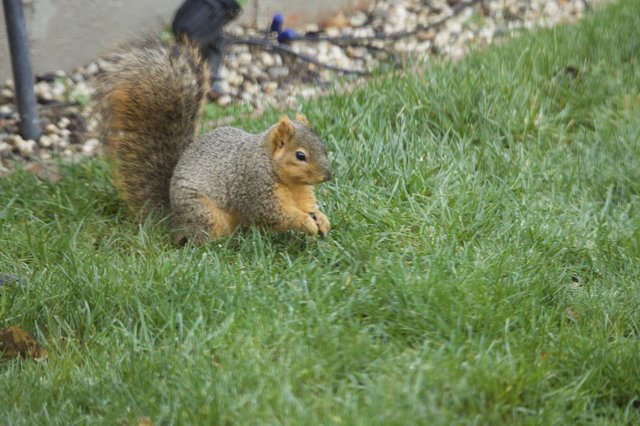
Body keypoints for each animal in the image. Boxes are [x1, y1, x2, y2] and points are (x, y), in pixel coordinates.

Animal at [95, 37, 331, 245]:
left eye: (323, 147)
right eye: (300, 155)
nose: (327, 176)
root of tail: (175, 222)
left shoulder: (301, 193)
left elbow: (308, 206)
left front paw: (321, 219)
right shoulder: (255, 187)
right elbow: (274, 214)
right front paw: (305, 222)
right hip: (204, 212)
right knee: (202, 240)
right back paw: (224, 245)